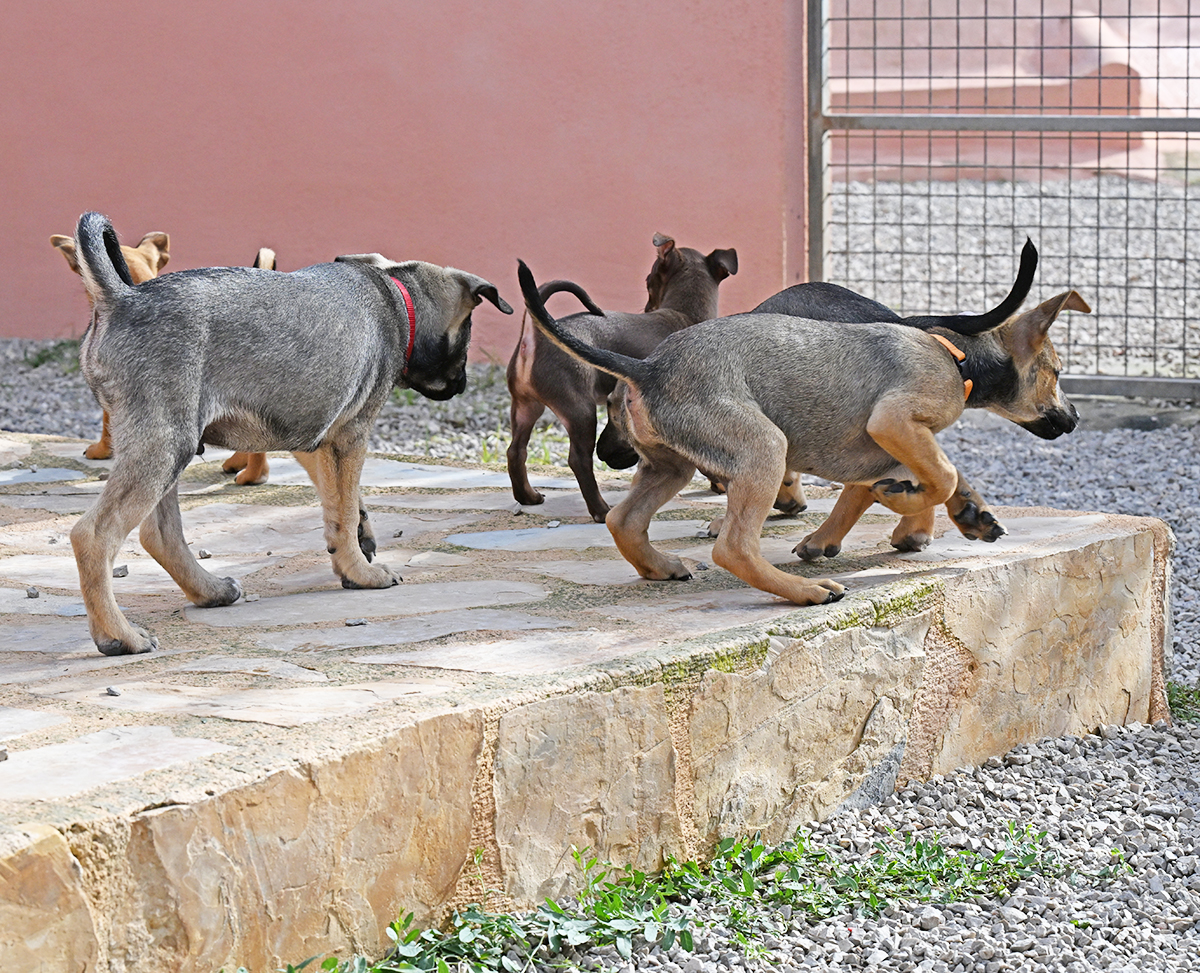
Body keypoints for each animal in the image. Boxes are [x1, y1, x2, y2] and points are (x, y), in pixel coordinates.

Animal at [69, 211, 511, 655]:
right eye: (467, 336)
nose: (462, 385)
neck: (398, 298)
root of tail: (120, 299)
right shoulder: (351, 435)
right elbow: (345, 507)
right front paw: (362, 571)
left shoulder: (314, 437)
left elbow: (339, 505)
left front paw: (355, 551)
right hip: (164, 445)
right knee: (94, 535)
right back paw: (119, 635)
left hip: (168, 447)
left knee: (160, 535)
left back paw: (210, 591)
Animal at [507, 233, 737, 522]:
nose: (647, 306)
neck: (684, 314)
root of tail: (534, 337)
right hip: (580, 411)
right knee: (578, 460)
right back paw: (600, 510)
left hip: (526, 406)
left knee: (516, 450)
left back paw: (528, 496)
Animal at [518, 258, 1087, 606]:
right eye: (1058, 373)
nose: (1076, 418)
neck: (954, 353)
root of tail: (650, 368)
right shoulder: (892, 422)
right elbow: (940, 476)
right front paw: (906, 501)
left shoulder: (886, 445)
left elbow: (925, 478)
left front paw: (944, 512)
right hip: (764, 447)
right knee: (733, 548)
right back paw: (804, 591)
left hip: (669, 464)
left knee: (624, 519)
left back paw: (661, 567)